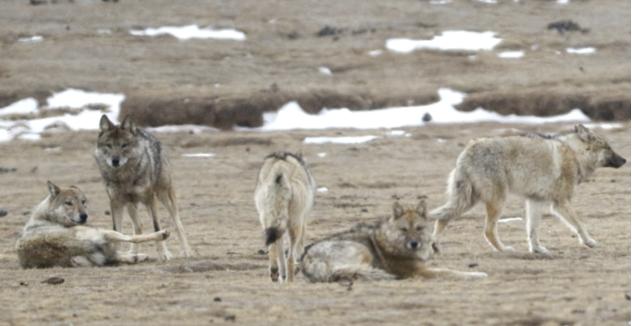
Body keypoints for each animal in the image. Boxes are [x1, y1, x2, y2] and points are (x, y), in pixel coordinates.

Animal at [16, 181, 170, 268]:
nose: (84, 216)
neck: (48, 216)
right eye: (69, 203)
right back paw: (162, 234)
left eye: (83, 201)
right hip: (103, 231)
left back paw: (137, 256)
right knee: (132, 238)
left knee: (117, 255)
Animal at [95, 114, 191, 260]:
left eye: (124, 145)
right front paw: (116, 254)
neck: (124, 177)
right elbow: (116, 230)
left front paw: (164, 254)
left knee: (178, 223)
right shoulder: (116, 202)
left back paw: (186, 251)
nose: (115, 160)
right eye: (109, 145)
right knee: (138, 227)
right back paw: (133, 253)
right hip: (131, 205)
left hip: (163, 196)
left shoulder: (149, 199)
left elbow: (157, 226)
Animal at [254, 152, 316, 282]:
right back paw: (290, 279)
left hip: (267, 220)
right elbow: (298, 248)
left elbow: (280, 251)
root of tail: (279, 168)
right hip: (294, 223)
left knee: (272, 247)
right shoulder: (303, 221)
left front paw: (281, 274)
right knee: (290, 256)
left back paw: (274, 272)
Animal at [298, 197, 486, 282]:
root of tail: (307, 258)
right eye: (404, 230)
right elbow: (450, 271)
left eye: (419, 228)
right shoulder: (420, 272)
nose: (414, 244)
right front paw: (477, 274)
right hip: (363, 250)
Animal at [430, 123, 628, 253]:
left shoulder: (535, 201)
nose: (625, 160)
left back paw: (435, 246)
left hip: (468, 201)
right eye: (608, 148)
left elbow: (532, 231)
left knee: (442, 219)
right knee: (487, 231)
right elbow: (579, 224)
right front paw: (589, 242)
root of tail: (468, 149)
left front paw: (537, 249)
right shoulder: (560, 203)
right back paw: (504, 249)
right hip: (497, 202)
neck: (575, 154)